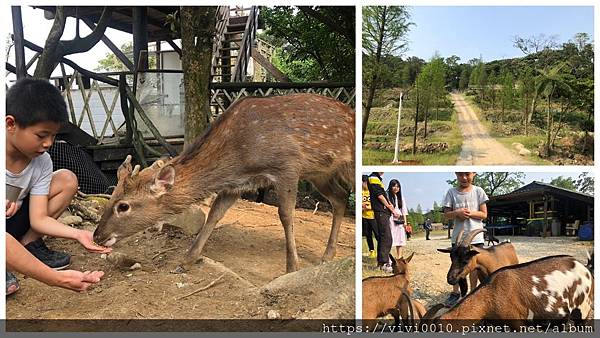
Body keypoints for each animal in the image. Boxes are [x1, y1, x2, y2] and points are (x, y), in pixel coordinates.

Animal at [93, 93, 354, 274]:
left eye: (123, 206)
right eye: (112, 197)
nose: (97, 236)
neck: (239, 157)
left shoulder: (287, 166)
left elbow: (286, 215)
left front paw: (291, 267)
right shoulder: (236, 185)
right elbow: (214, 215)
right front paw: (186, 260)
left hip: (342, 165)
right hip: (321, 173)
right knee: (340, 197)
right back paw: (327, 256)